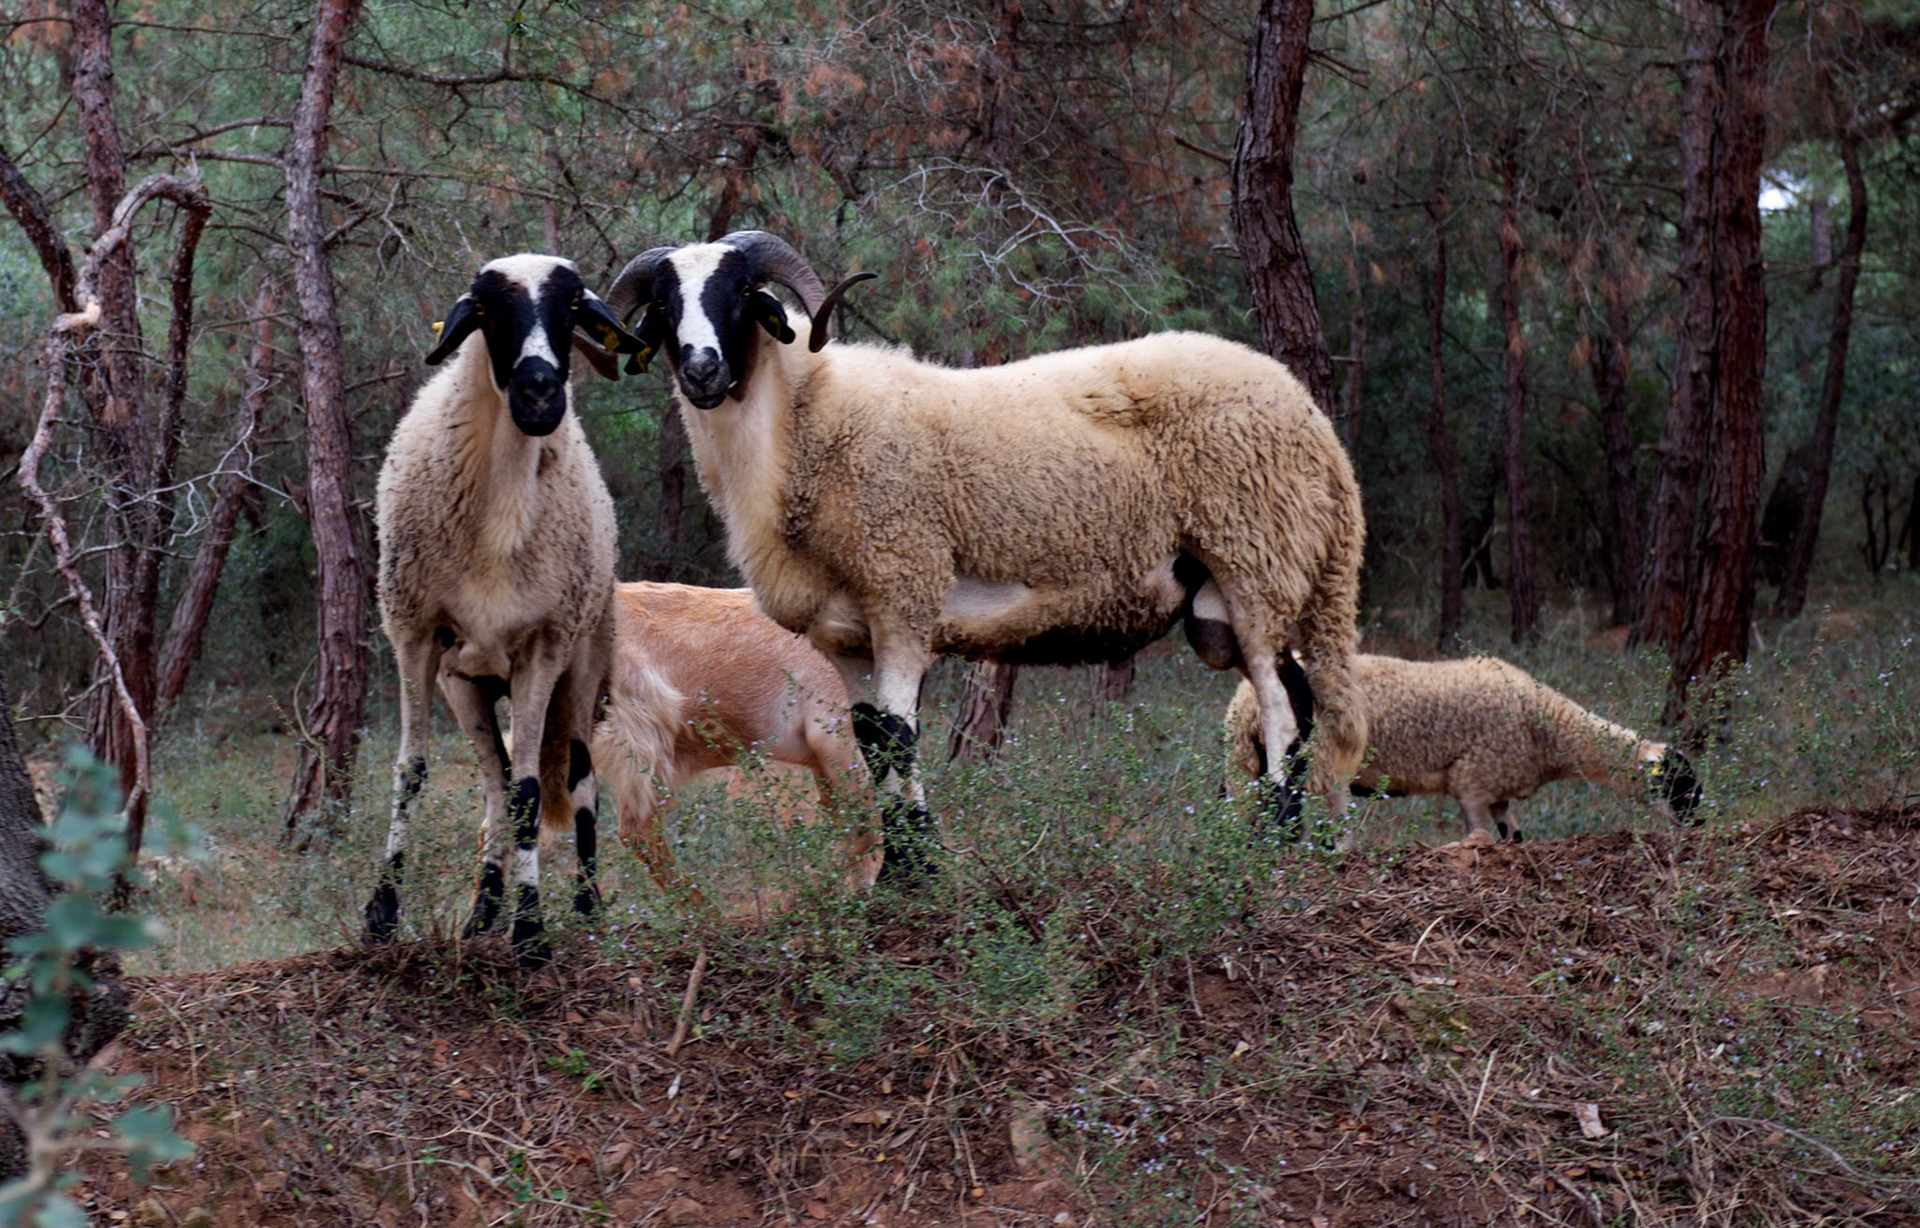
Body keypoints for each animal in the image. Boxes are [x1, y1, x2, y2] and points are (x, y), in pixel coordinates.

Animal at [367, 253, 645, 966]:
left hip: (583, 665)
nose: (540, 391)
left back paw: (585, 906)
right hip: (466, 682)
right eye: (488, 312)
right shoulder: (414, 634)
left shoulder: (543, 648)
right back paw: (481, 912)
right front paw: (381, 913)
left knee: (575, 779)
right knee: (493, 784)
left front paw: (532, 929)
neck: (500, 513)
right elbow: (412, 771)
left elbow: (530, 790)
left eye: (572, 308)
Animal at [604, 230, 1368, 883]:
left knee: (1282, 707)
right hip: (1227, 605)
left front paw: (916, 873)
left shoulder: (904, 591)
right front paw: (901, 874)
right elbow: (870, 738)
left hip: (1257, 562)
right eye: (665, 307)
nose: (702, 370)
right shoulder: (844, 634)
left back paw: (1268, 848)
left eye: (739, 294)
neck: (806, 428)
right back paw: (1274, 838)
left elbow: (899, 735)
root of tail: (1315, 425)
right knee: (1296, 695)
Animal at [1223, 653, 1704, 841]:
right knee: (1300, 820)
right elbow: (1480, 838)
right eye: (1678, 787)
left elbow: (1515, 839)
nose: (1698, 827)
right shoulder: (1473, 782)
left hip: (1250, 766)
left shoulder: (1498, 791)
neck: (1547, 727)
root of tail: (1242, 704)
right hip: (1314, 759)